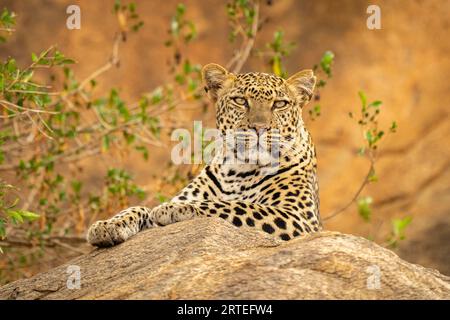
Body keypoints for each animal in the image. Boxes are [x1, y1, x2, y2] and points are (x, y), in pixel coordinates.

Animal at [87, 63, 320, 248]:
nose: (259, 128)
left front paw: (173, 208)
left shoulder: (299, 217)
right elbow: (140, 208)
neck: (239, 170)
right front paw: (107, 225)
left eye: (280, 104)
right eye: (240, 101)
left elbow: (234, 205)